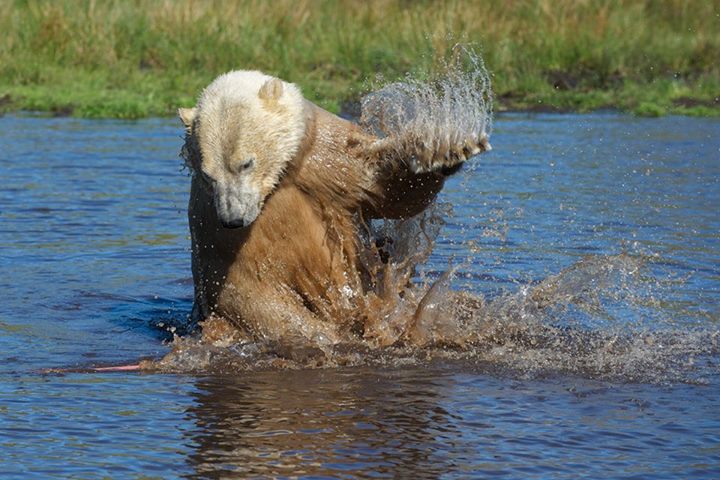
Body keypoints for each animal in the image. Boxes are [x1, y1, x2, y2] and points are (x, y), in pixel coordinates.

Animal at [180, 68, 492, 344]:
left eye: (246, 163)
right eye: (208, 175)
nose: (233, 219)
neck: (278, 184)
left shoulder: (320, 154)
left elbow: (387, 188)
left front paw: (448, 148)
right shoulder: (216, 240)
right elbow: (257, 299)